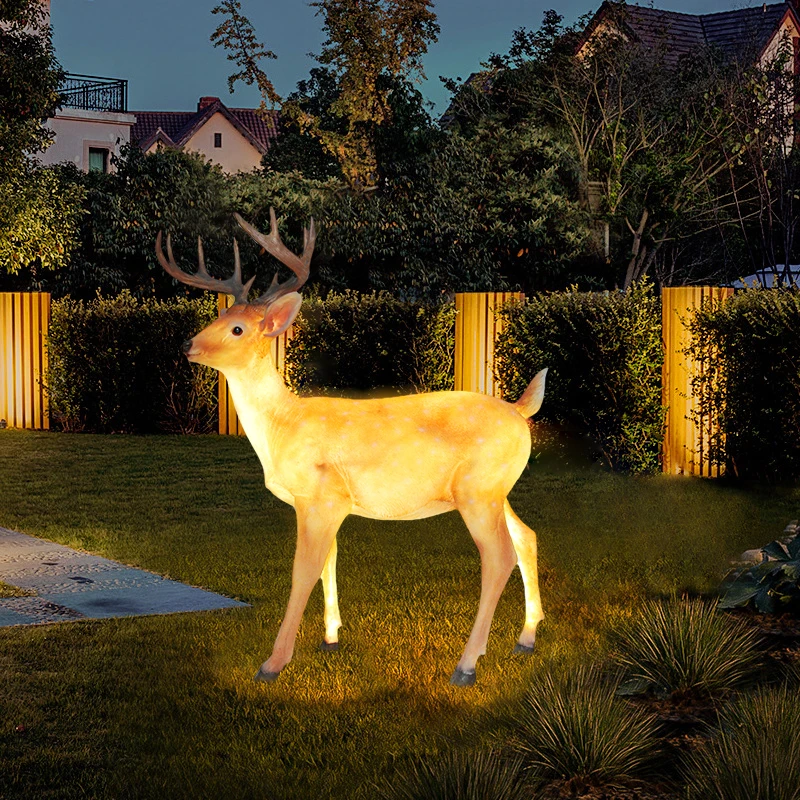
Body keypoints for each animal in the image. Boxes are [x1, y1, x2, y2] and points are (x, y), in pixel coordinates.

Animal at [156, 209, 548, 686]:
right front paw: (330, 637)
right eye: (221, 316)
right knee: (527, 537)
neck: (282, 426)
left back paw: (467, 664)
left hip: (479, 489)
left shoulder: (320, 495)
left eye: (237, 328)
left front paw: (273, 663)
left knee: (498, 556)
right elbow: (330, 561)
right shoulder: (329, 504)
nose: (188, 345)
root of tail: (520, 410)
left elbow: (303, 570)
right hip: (495, 489)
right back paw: (525, 639)